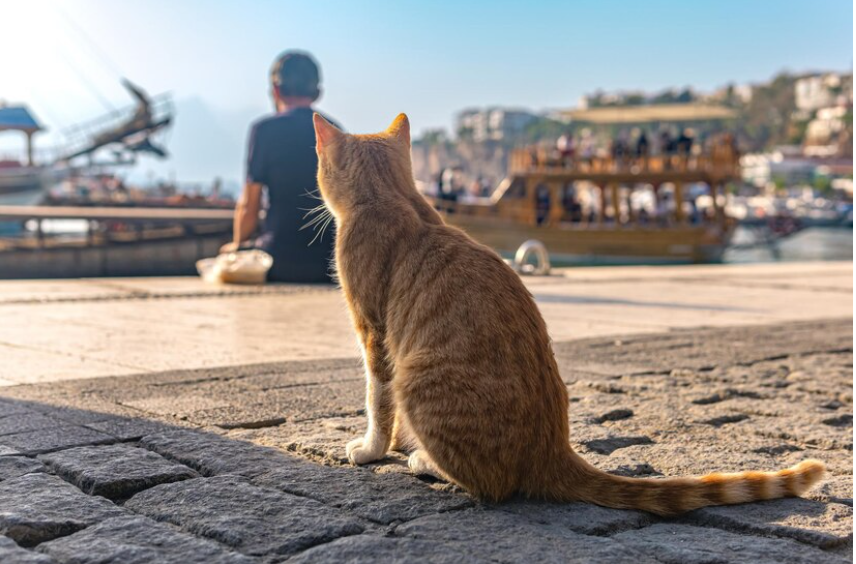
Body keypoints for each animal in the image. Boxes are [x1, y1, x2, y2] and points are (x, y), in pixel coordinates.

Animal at [310, 113, 824, 516]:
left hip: (415, 377)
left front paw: (375, 449)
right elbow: (390, 414)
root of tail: (554, 451)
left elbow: (378, 401)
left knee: (491, 484)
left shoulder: (375, 335)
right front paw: (398, 442)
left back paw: (426, 463)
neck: (394, 197)